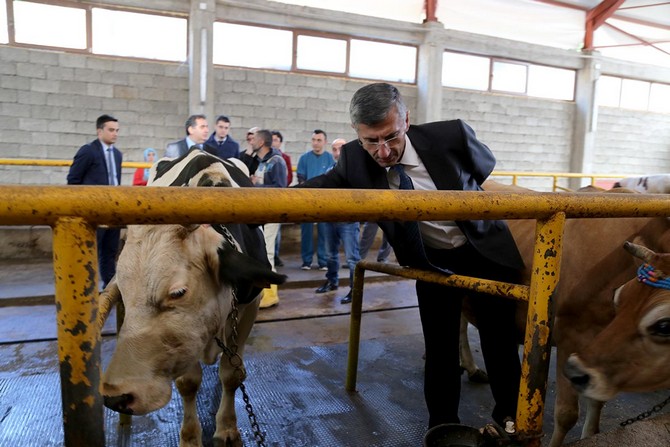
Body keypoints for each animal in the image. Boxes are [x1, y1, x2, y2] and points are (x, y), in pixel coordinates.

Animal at [98, 151, 288, 447]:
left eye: (178, 293)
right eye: (125, 291)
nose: (116, 397)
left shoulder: (248, 309)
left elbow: (232, 374)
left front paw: (227, 428)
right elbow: (188, 383)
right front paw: (189, 437)